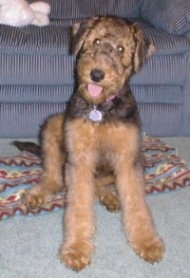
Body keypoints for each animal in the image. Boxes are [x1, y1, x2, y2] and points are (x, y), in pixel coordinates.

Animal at [23, 15, 164, 272]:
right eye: (96, 40)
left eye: (121, 49)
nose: (97, 74)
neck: (100, 109)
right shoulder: (80, 159)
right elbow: (79, 205)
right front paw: (77, 249)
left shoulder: (127, 159)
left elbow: (137, 204)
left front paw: (147, 242)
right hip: (53, 125)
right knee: (54, 178)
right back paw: (37, 194)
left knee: (98, 184)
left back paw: (110, 197)